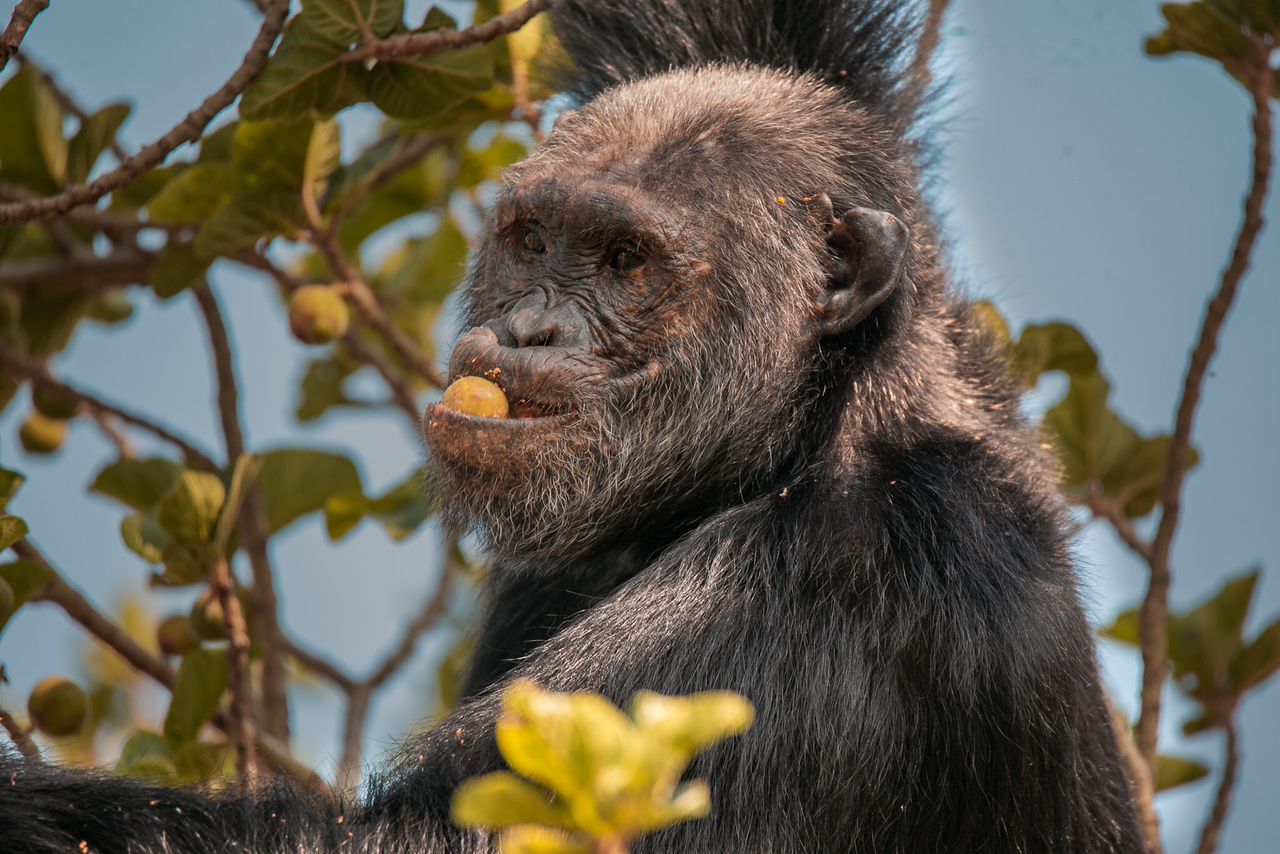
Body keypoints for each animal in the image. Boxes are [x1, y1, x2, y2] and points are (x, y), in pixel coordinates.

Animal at [0, 1, 1143, 851]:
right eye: (532, 239)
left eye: (624, 261)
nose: (530, 328)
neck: (803, 434)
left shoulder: (808, 591)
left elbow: (465, 829)